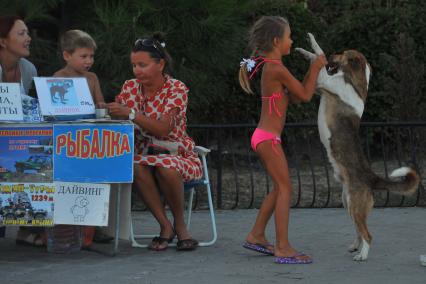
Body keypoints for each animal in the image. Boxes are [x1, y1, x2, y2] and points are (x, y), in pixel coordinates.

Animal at [296, 33, 420, 262]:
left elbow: (319, 53)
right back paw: (356, 246)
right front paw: (303, 50)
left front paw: (312, 42)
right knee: (359, 230)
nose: (333, 56)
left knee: (368, 234)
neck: (354, 82)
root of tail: (372, 178)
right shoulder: (321, 85)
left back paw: (362, 255)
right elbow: (316, 57)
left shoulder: (322, 80)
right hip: (349, 204)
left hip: (355, 205)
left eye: (343, 53)